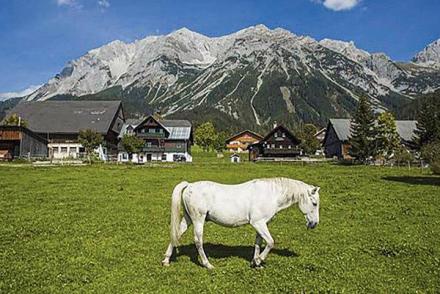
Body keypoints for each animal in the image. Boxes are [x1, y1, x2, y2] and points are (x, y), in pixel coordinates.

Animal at [162, 177, 320, 268]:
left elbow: (258, 243)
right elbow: (270, 242)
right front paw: (259, 260)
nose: (314, 224)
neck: (271, 194)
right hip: (198, 220)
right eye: (314, 203)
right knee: (198, 241)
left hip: (189, 219)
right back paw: (208, 264)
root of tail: (189, 185)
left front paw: (255, 262)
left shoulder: (261, 224)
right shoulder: (258, 223)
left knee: (176, 234)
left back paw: (166, 261)